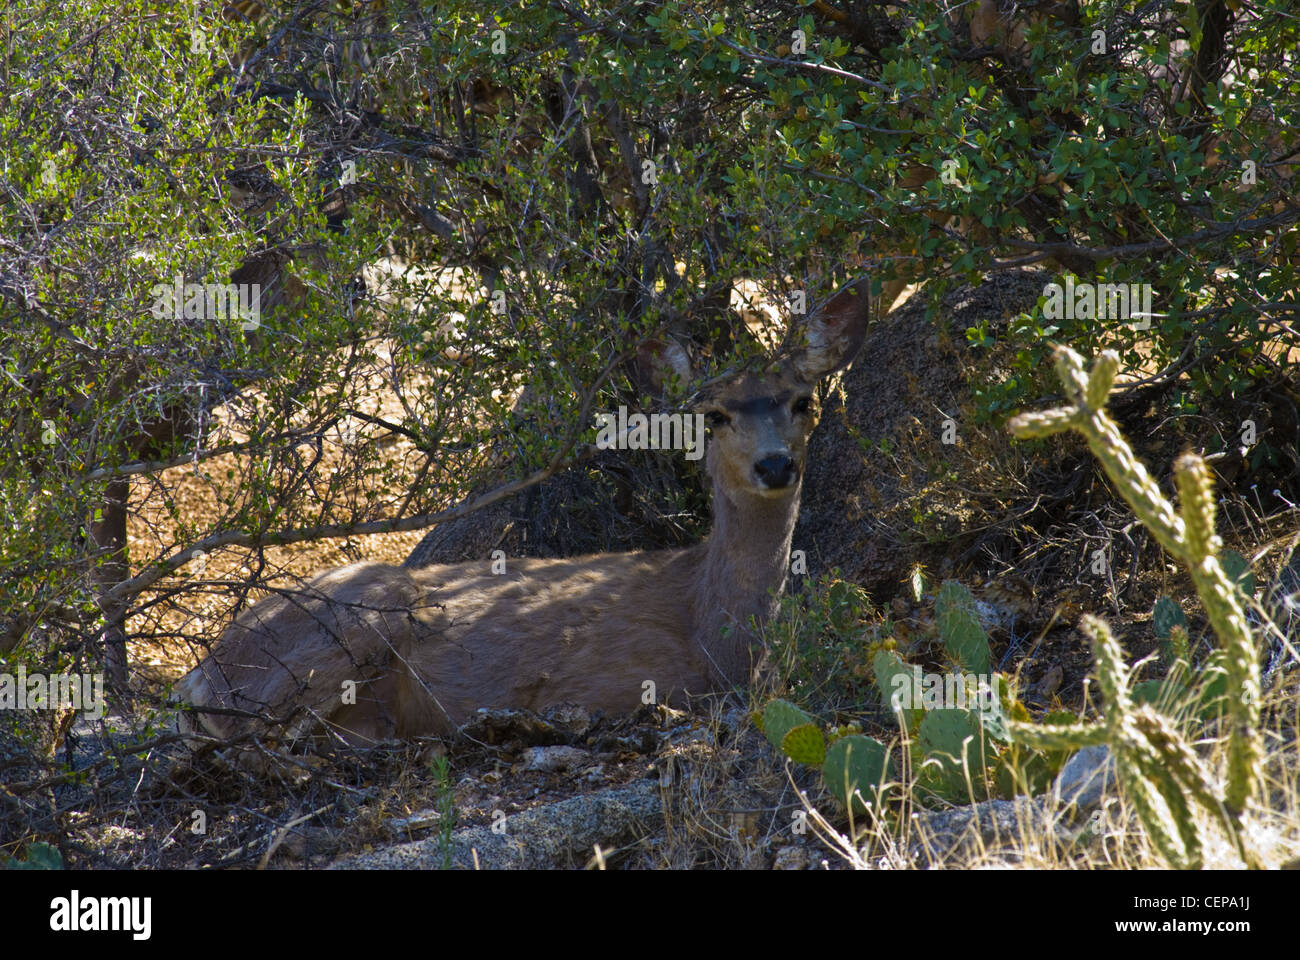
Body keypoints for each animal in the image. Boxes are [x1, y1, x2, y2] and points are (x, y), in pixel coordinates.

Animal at [170, 277, 863, 738]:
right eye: (715, 415)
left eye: (802, 400)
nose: (775, 464)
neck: (718, 634)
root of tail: (201, 669)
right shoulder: (629, 679)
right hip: (354, 617)